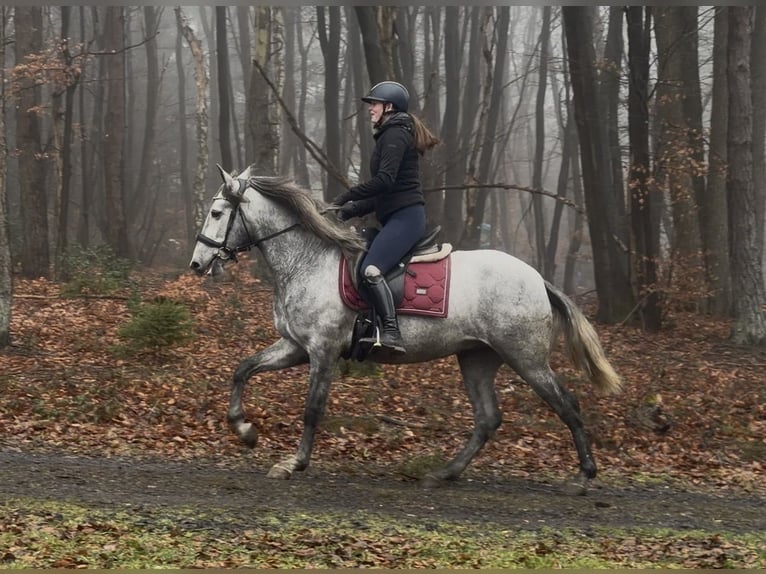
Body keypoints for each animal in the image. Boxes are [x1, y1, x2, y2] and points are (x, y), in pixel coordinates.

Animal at [189, 165, 622, 495]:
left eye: (217, 213)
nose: (197, 263)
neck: (308, 260)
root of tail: (535, 277)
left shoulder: (322, 351)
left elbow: (312, 409)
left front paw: (293, 463)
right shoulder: (295, 346)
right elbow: (243, 369)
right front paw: (245, 430)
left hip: (526, 357)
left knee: (567, 404)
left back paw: (583, 477)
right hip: (477, 358)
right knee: (487, 419)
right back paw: (443, 473)